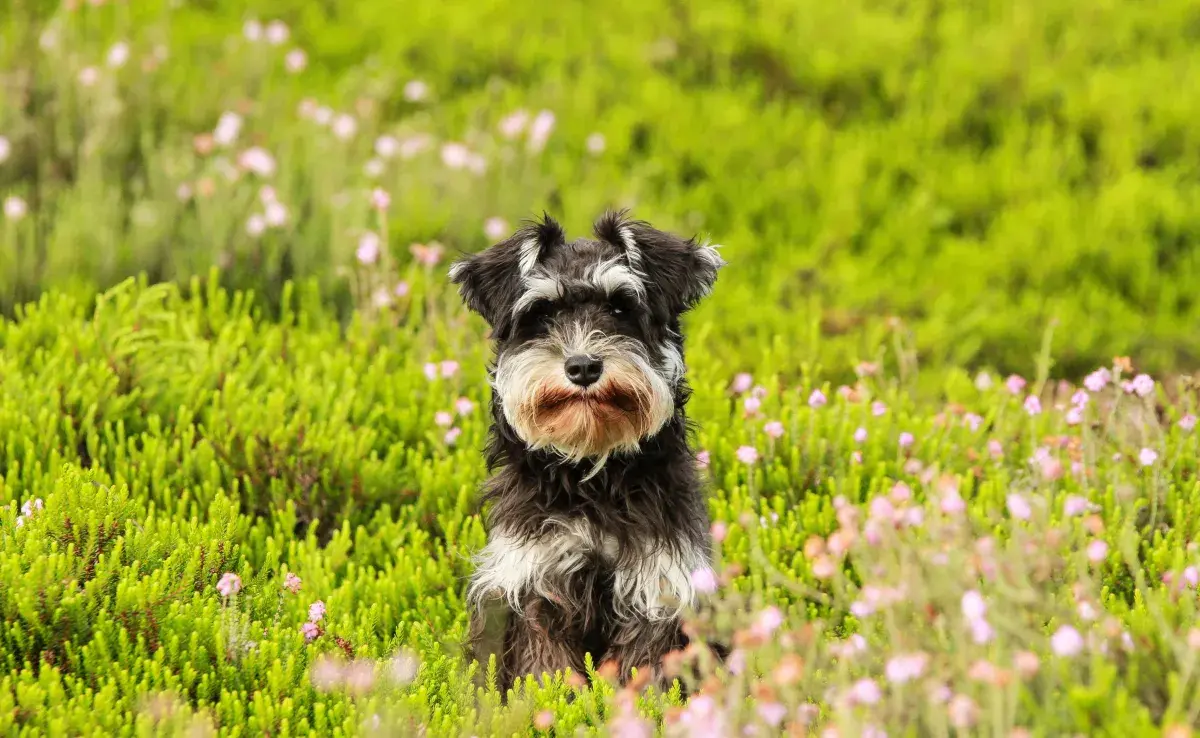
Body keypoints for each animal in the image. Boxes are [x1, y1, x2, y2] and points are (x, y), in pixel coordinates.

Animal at [451, 211, 724, 696]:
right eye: (541, 313)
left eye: (621, 307)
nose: (582, 366)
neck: (593, 473)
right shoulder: (534, 585)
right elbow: (545, 670)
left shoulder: (657, 589)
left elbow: (643, 670)